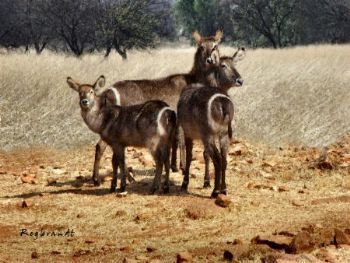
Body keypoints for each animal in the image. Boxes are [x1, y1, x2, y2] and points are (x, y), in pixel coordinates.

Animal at [90, 29, 221, 187]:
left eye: (215, 46)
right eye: (201, 47)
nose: (210, 60)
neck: (193, 79)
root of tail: (109, 91)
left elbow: (174, 142)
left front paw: (174, 167)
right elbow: (181, 142)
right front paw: (182, 168)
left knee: (100, 147)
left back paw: (98, 179)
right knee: (103, 147)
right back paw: (114, 179)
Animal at [178, 47, 246, 198]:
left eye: (235, 64)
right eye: (223, 65)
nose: (240, 80)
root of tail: (222, 102)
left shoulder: (188, 132)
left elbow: (190, 156)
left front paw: (185, 183)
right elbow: (205, 155)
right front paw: (206, 181)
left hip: (208, 135)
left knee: (218, 159)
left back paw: (215, 191)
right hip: (223, 135)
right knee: (224, 159)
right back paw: (223, 189)